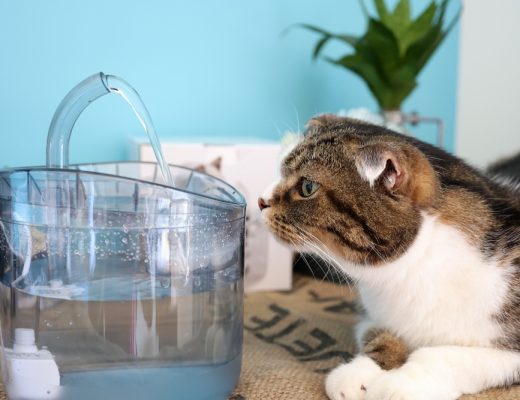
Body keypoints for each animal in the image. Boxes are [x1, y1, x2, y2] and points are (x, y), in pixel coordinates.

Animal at [258, 113, 520, 400]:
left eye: (307, 187)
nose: (260, 200)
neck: (410, 271)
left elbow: (441, 356)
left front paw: (400, 385)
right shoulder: (371, 313)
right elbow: (379, 333)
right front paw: (359, 373)